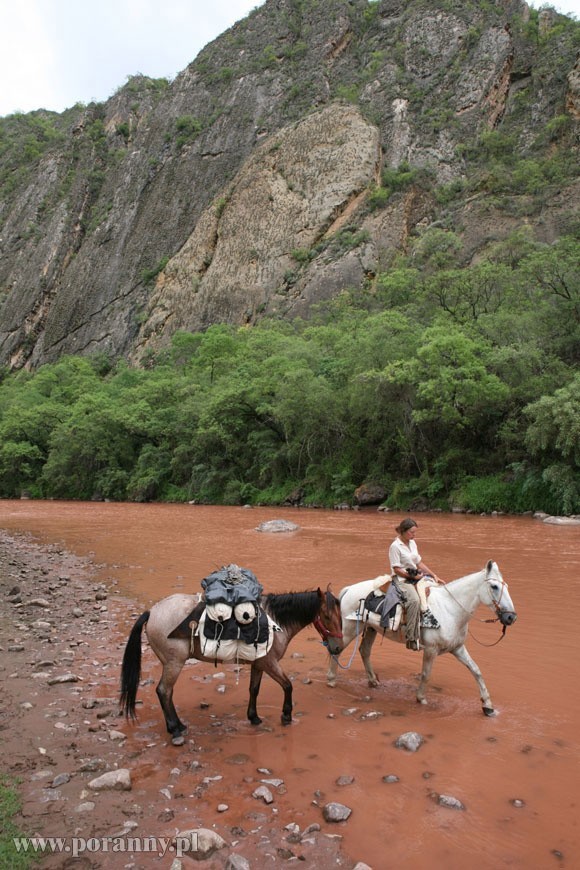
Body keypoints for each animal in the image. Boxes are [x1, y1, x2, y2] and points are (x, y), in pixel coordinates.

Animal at [119, 584, 342, 744]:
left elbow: (254, 689)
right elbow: (288, 685)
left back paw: (178, 725)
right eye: (327, 616)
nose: (338, 647)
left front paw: (254, 717)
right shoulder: (270, 663)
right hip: (174, 663)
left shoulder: (259, 664)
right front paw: (286, 716)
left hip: (171, 664)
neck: (274, 622)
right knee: (163, 691)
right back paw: (175, 730)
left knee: (167, 693)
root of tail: (152, 612)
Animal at [326, 564, 516, 720]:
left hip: (371, 628)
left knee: (364, 651)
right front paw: (421, 698)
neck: (450, 609)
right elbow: (426, 674)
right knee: (336, 649)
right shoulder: (431, 649)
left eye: (506, 586)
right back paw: (331, 680)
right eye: (494, 586)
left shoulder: (457, 648)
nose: (511, 617)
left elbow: (476, 671)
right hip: (350, 628)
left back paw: (373, 681)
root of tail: (349, 589)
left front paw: (488, 706)